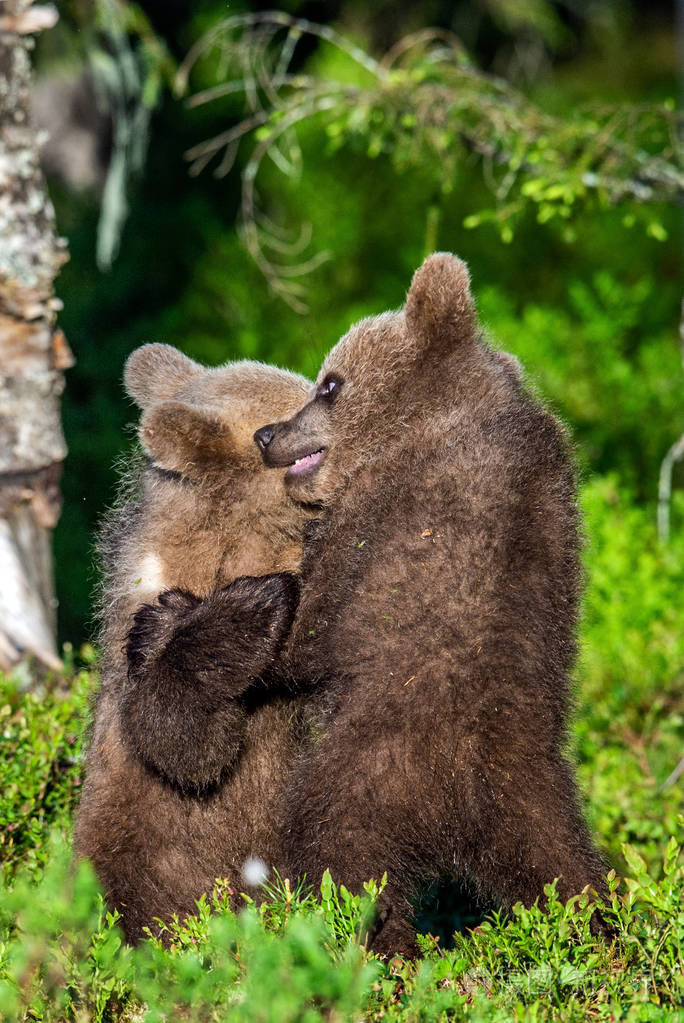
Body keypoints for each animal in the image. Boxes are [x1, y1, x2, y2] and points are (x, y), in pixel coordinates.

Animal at [254, 253, 608, 956]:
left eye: (329, 382)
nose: (266, 434)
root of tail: (462, 798)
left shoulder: (368, 520)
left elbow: (310, 629)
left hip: (365, 769)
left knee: (340, 856)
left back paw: (369, 942)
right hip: (538, 792)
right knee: (565, 868)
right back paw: (610, 935)